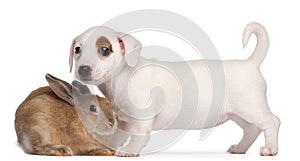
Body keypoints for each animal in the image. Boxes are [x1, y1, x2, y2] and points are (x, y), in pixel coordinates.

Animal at [69, 22, 280, 157]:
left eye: (104, 50)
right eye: (77, 49)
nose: (83, 69)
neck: (122, 76)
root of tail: (250, 63)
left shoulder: (142, 117)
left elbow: (137, 136)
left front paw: (129, 151)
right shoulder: (124, 120)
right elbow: (118, 135)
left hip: (250, 107)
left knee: (272, 122)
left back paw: (270, 149)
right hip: (238, 113)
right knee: (252, 129)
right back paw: (240, 148)